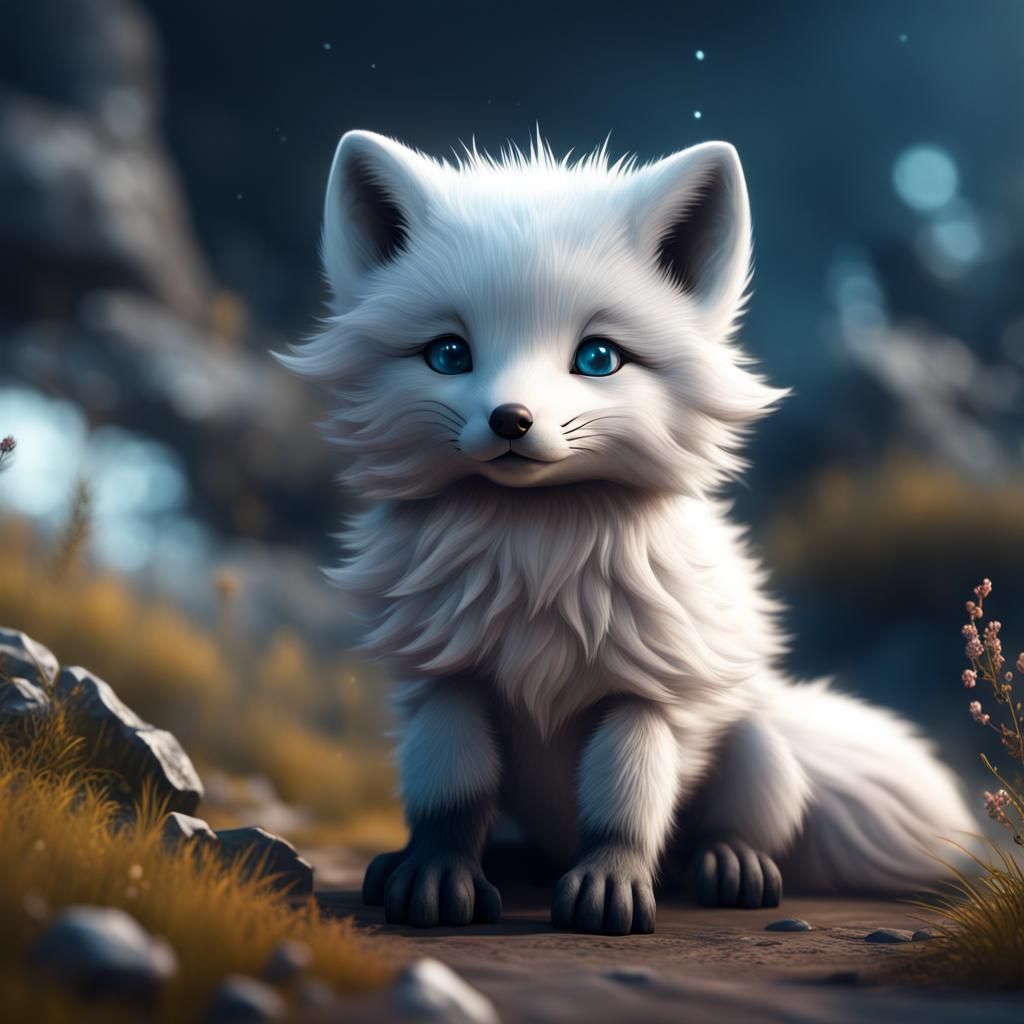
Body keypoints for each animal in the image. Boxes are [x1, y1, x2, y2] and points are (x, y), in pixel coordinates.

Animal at [280, 129, 974, 934]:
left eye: (598, 358)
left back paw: (730, 866)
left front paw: (608, 885)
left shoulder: (645, 696)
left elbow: (624, 802)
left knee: (744, 823)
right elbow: (451, 796)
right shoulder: (448, 682)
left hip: (756, 743)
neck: (537, 554)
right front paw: (434, 873)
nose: (511, 420)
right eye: (449, 354)